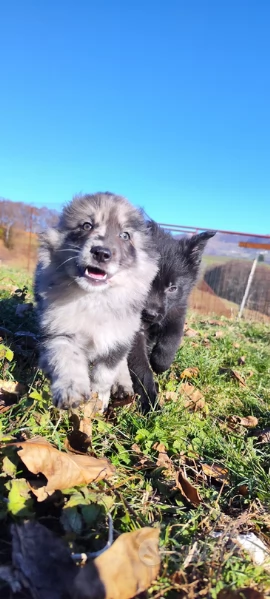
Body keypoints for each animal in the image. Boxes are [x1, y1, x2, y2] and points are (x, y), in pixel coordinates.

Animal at [34, 192, 159, 412]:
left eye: (125, 236)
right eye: (86, 225)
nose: (101, 253)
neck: (94, 298)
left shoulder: (118, 337)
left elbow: (105, 373)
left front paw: (98, 401)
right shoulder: (58, 330)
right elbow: (66, 358)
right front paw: (71, 392)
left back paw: (124, 385)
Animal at [128, 221, 215, 412]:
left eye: (172, 288)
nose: (150, 313)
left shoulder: (176, 312)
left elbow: (172, 339)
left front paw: (160, 363)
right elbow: (141, 367)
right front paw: (150, 404)